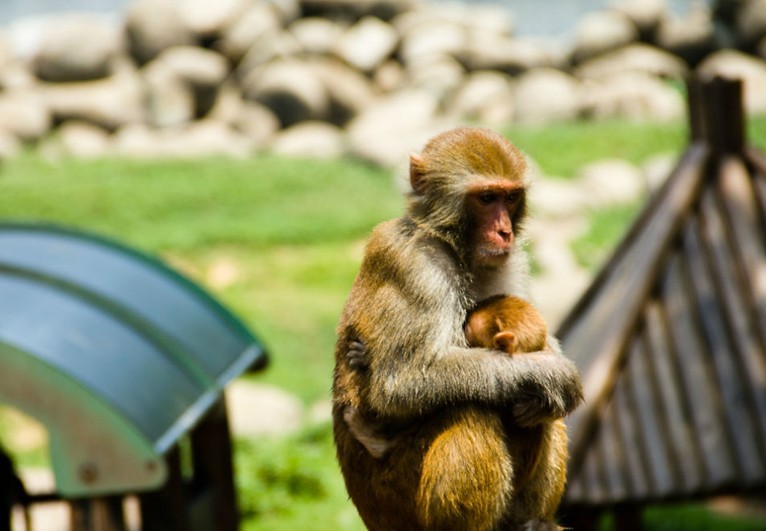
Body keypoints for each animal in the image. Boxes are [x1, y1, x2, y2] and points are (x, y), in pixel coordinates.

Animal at [332, 127, 584, 528]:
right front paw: (551, 374)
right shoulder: (417, 266)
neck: (451, 244)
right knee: (472, 407)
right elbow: (401, 383)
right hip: (395, 498)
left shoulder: (510, 262)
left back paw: (534, 521)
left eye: (511, 197)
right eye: (486, 198)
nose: (504, 232)